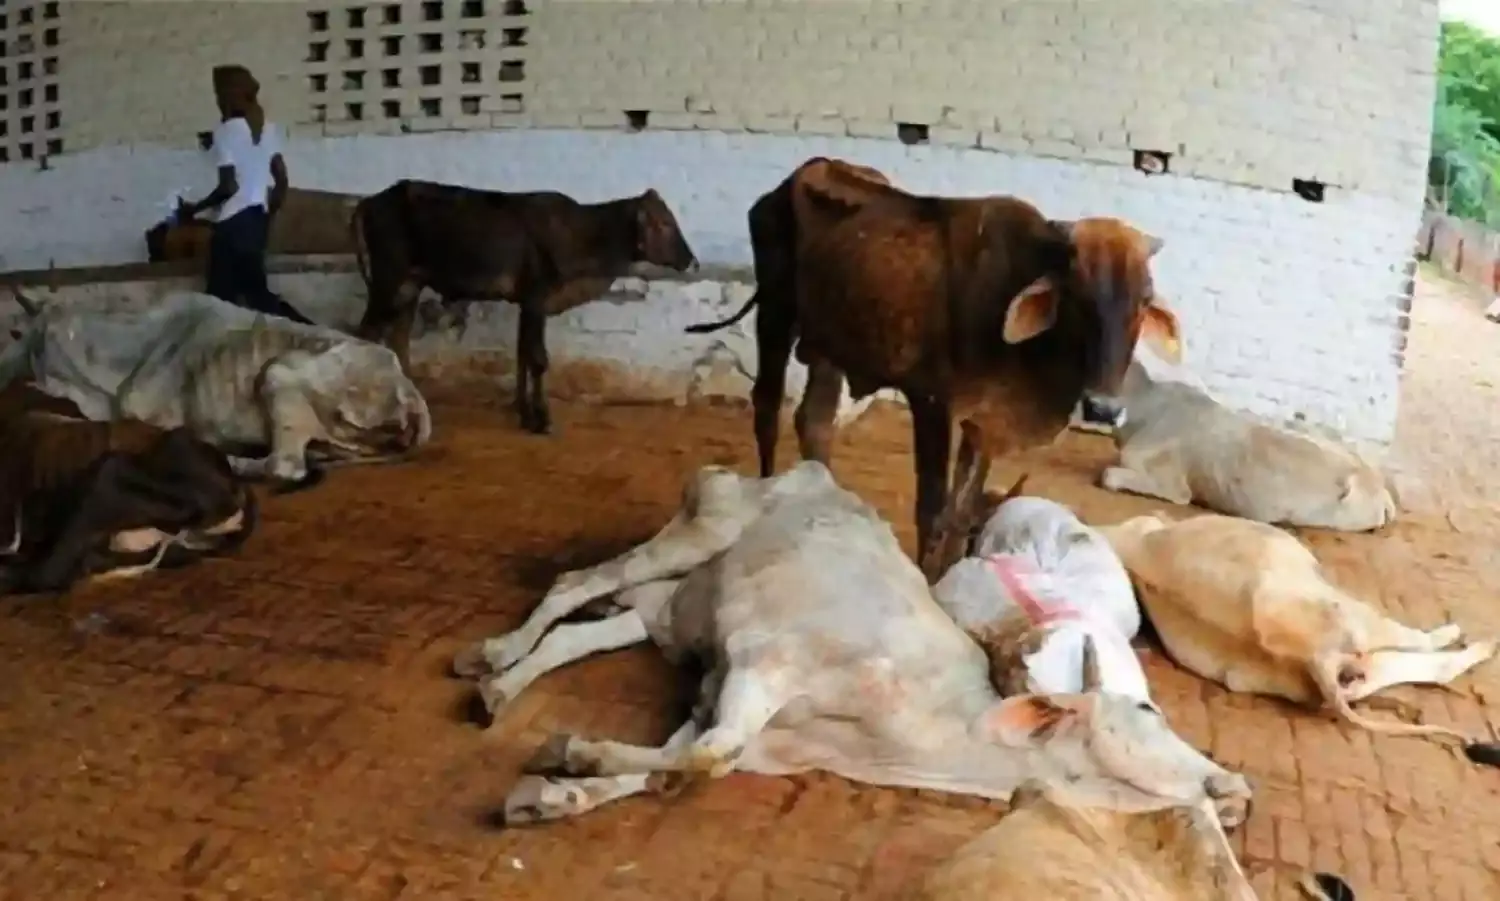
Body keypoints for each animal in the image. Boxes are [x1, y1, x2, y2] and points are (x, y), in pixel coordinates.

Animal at [350, 178, 699, 435]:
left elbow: (522, 355)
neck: (581, 233)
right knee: (365, 336)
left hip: (408, 289)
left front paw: (524, 411)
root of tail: (369, 202)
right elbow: (539, 359)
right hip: (387, 285)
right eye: (664, 224)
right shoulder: (535, 297)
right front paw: (541, 418)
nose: (693, 262)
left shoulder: (525, 304)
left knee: (398, 340)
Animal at [450, 461, 1251, 827]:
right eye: (1147, 713)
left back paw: (499, 682)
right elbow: (708, 757)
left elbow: (677, 760)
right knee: (580, 580)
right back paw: (490, 656)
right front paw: (571, 754)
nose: (1236, 788)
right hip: (697, 531)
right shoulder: (765, 665)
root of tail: (797, 472)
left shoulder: (736, 709)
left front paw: (555, 792)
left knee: (589, 630)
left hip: (677, 603)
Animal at [683, 157, 1183, 580]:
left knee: (815, 420)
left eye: (1144, 301)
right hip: (775, 312)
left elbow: (962, 510)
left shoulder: (985, 421)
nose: (1102, 409)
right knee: (767, 407)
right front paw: (929, 579)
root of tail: (800, 175)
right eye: (1078, 296)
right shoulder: (932, 401)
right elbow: (934, 508)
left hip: (829, 341)